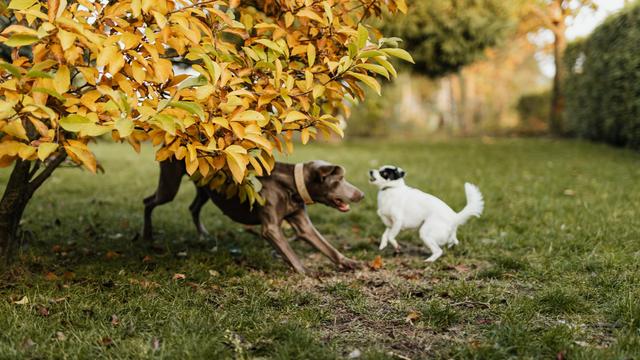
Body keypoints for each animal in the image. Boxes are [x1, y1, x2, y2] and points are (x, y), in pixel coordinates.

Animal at [144, 159, 364, 274]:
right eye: (339, 180)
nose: (361, 195)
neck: (290, 185)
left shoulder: (304, 225)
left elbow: (327, 247)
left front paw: (349, 262)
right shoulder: (271, 229)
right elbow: (290, 253)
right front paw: (305, 271)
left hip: (205, 189)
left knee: (193, 208)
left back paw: (203, 235)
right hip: (170, 185)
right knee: (148, 202)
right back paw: (147, 235)